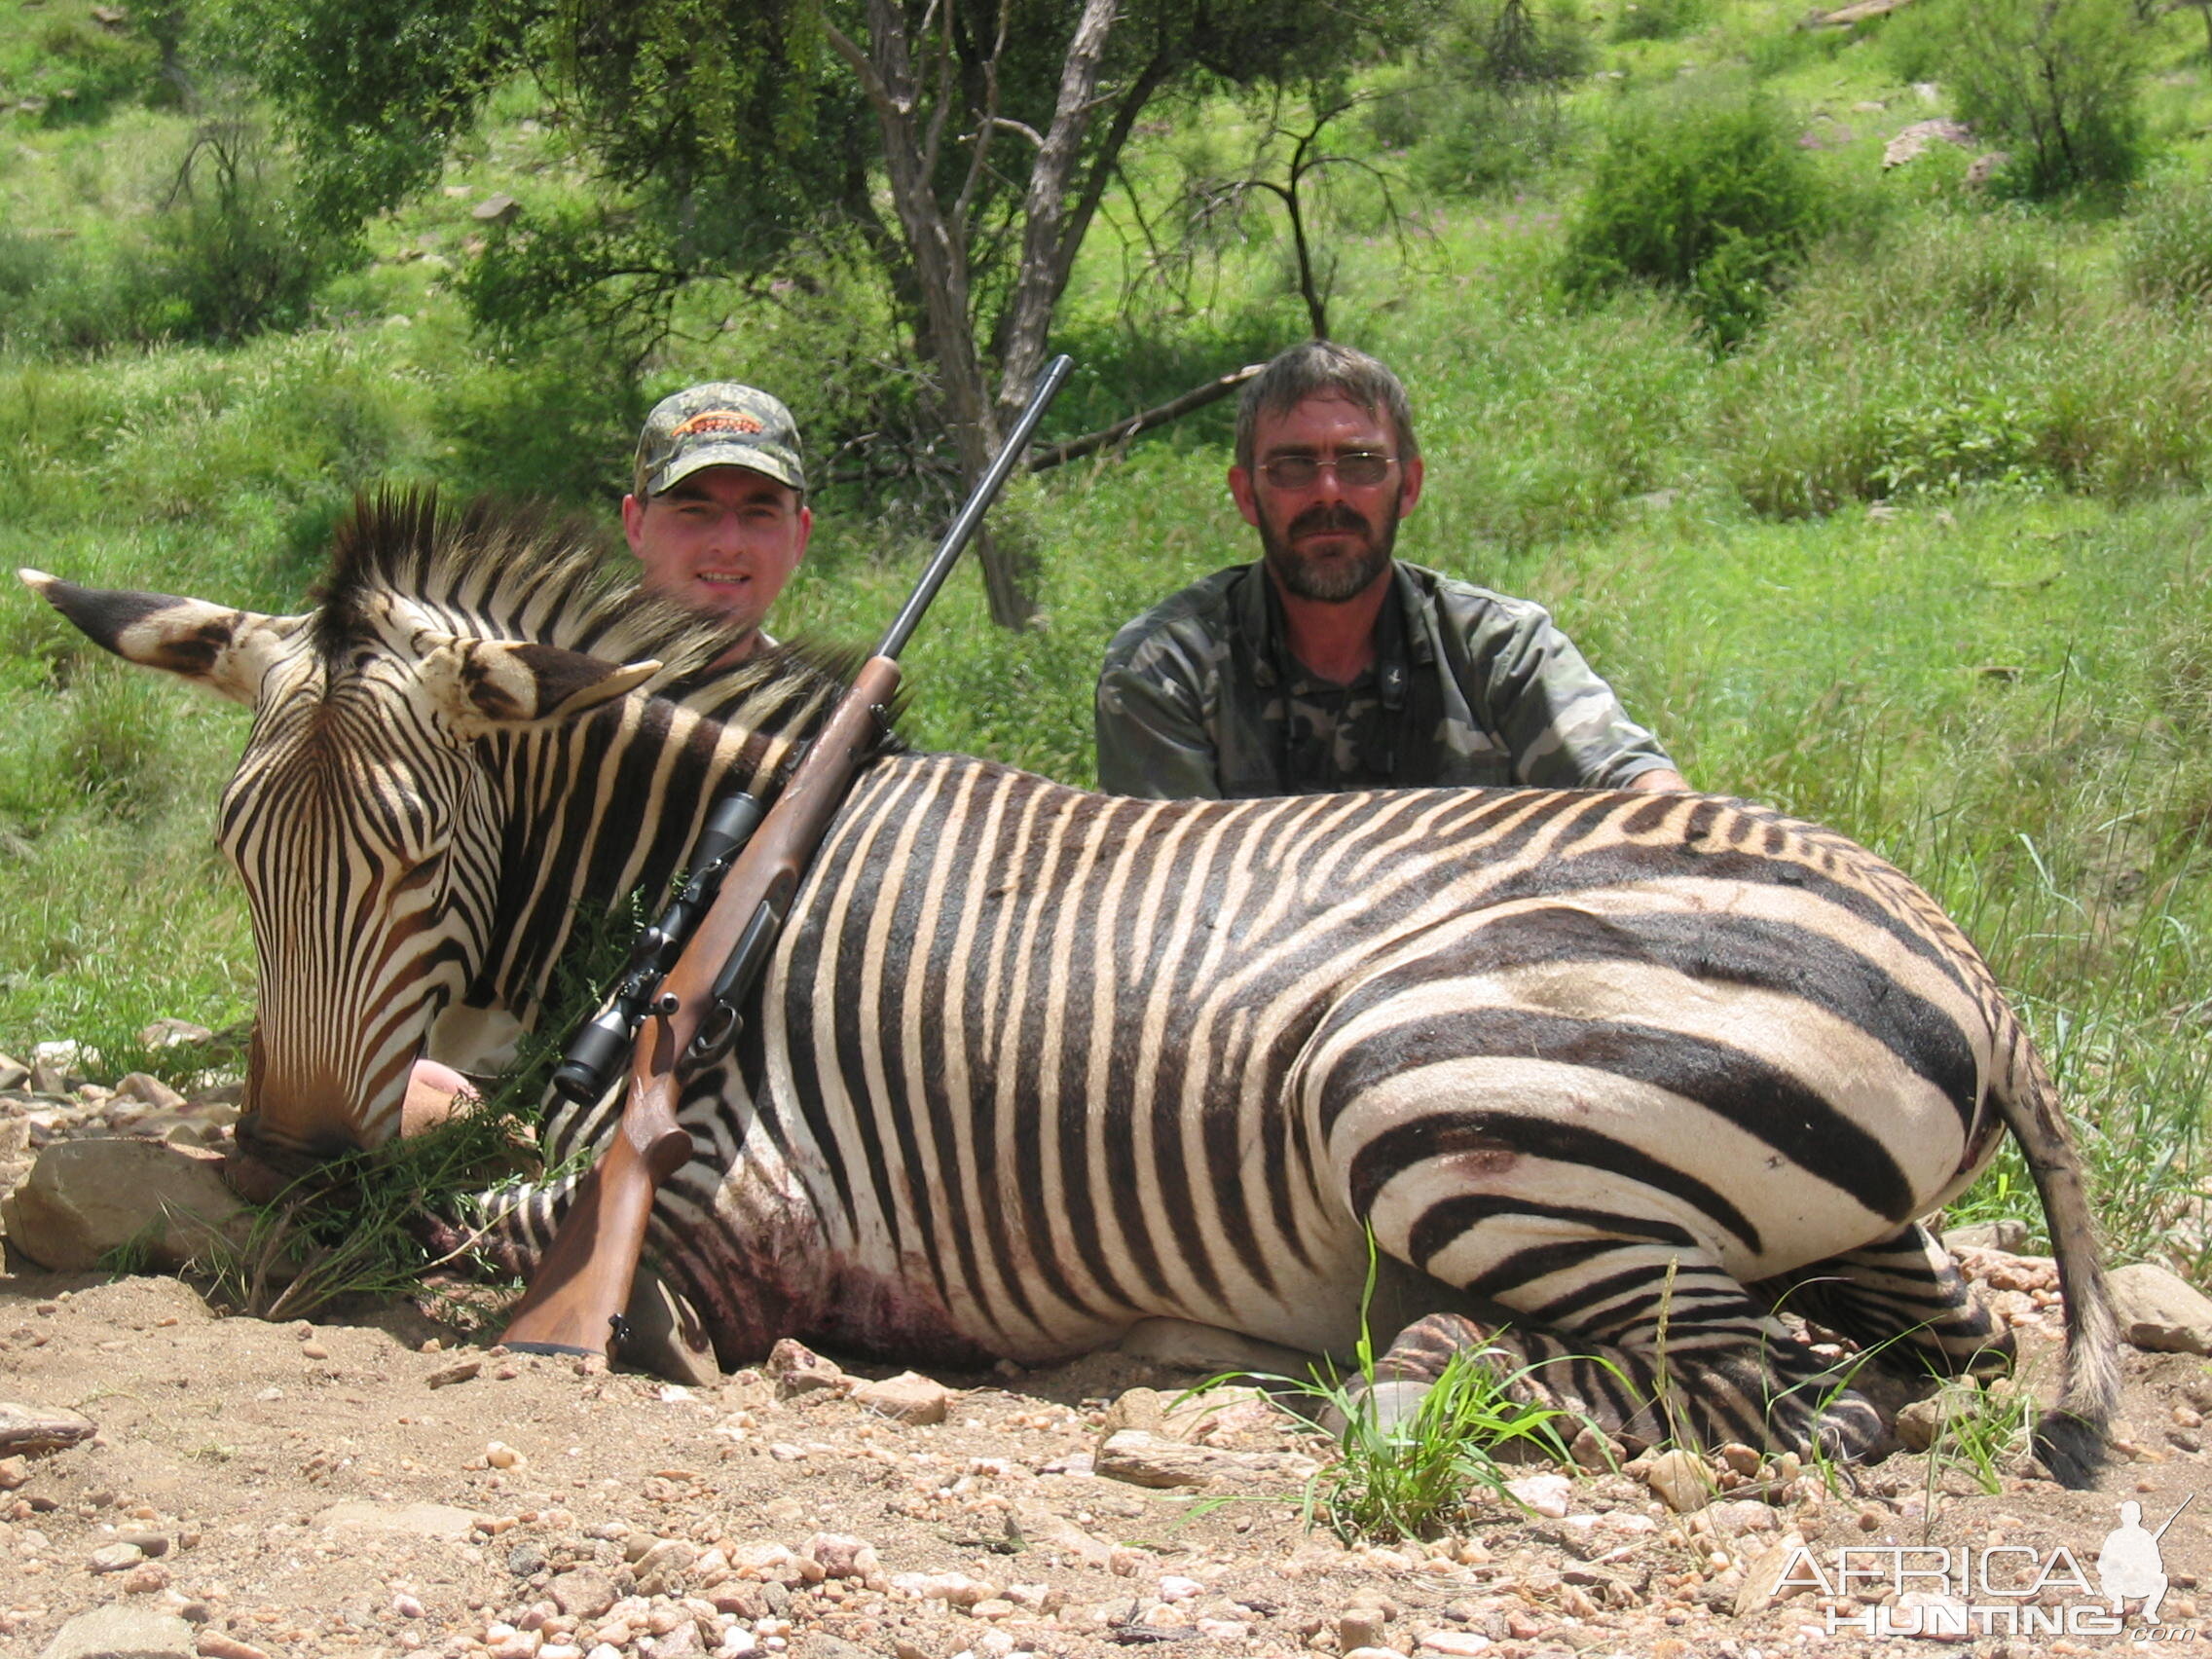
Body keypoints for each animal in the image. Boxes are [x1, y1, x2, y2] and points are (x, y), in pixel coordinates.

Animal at [21, 491, 2123, 1477]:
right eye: (238, 857)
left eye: (406, 861)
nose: (282, 1150)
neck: (702, 867)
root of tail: (1962, 952)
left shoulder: (729, 1191)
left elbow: (462, 1232)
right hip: (1837, 1221)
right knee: (1919, 1348)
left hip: (1434, 1098)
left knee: (1779, 1398)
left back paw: (1420, 1361)